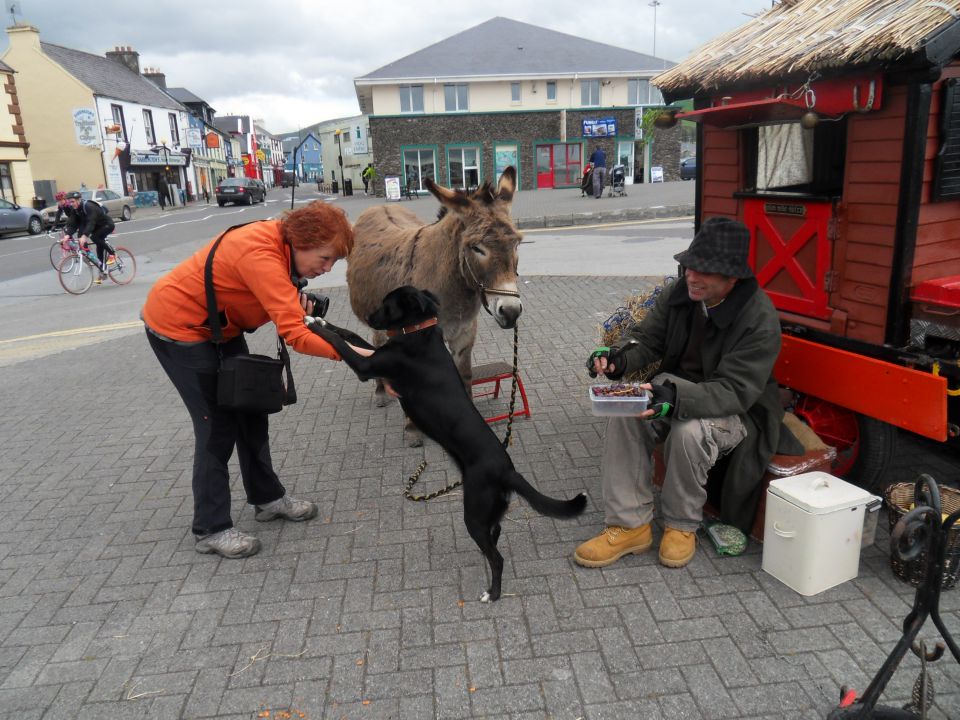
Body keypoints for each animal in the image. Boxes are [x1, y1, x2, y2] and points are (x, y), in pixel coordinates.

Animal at [312, 286, 588, 600]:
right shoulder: (375, 354)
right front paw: (321, 320)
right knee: (496, 534)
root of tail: (508, 470)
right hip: (489, 511)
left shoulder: (367, 365)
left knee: (497, 557)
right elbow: (350, 335)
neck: (419, 332)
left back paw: (492, 593)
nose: (369, 318)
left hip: (474, 513)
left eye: (386, 304)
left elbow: (342, 344)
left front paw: (314, 326)